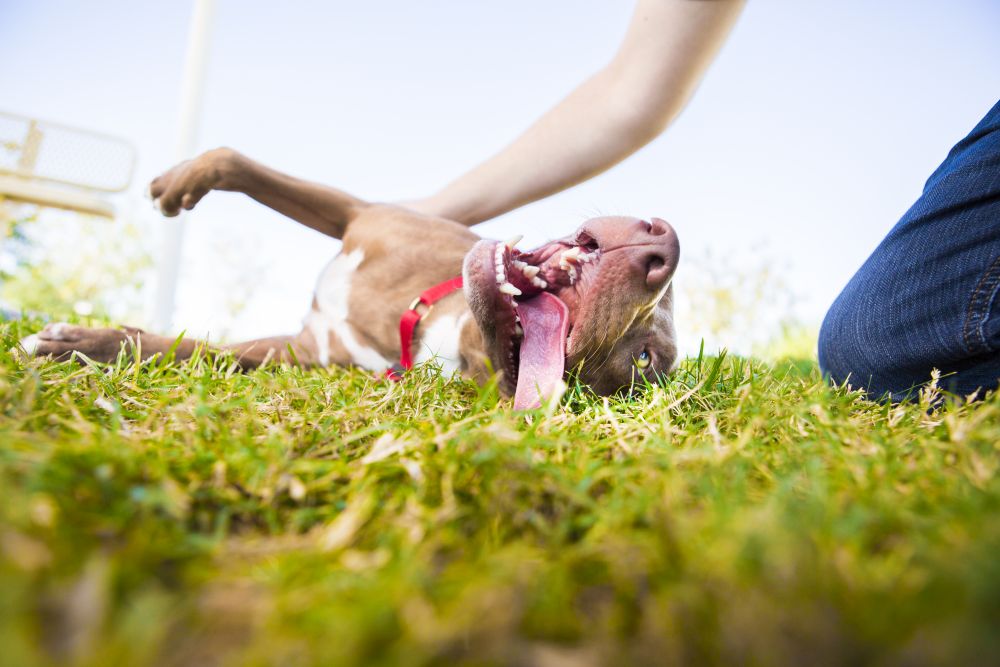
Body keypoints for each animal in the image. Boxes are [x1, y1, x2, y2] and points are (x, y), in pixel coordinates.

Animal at [21, 149, 680, 410]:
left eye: (644, 361)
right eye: (671, 289)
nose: (664, 243)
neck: (434, 322)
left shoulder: (301, 353)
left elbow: (205, 351)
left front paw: (80, 342)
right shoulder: (360, 216)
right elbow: (236, 161)